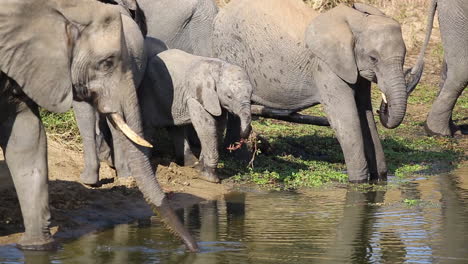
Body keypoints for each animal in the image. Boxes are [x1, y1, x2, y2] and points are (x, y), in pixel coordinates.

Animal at [137, 38, 254, 183]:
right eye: (229, 96)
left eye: (251, 94)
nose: (245, 134)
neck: (219, 67)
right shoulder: (196, 96)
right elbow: (207, 126)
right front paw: (209, 178)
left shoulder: (215, 101)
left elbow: (218, 126)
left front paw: (200, 169)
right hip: (149, 92)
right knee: (149, 125)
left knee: (176, 128)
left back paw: (191, 164)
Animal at [214, 0, 422, 183]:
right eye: (373, 58)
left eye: (404, 57)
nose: (384, 106)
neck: (356, 22)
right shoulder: (326, 67)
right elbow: (345, 118)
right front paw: (358, 182)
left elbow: (366, 116)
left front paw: (379, 180)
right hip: (229, 50)